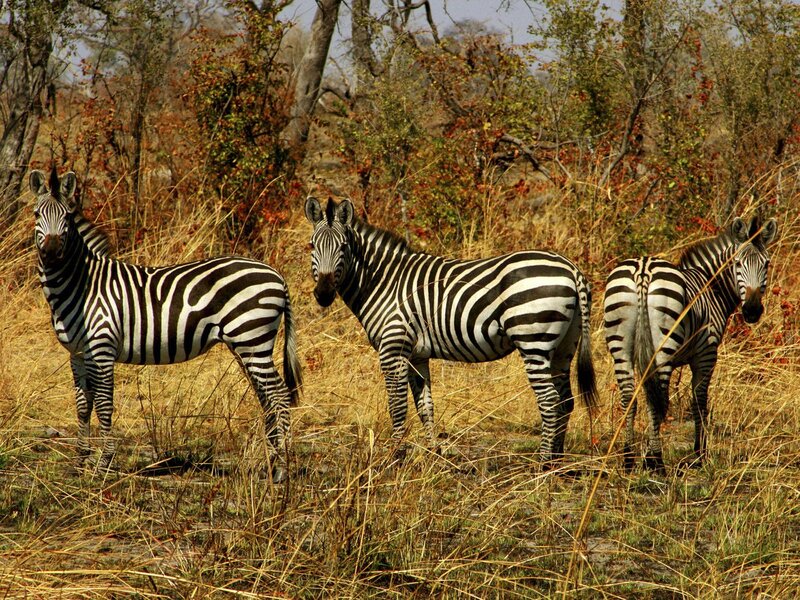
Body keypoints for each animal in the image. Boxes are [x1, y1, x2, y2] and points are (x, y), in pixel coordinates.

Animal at [31, 168, 302, 482]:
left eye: (66, 217)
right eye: (37, 214)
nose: (52, 252)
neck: (82, 284)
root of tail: (277, 275)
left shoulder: (102, 349)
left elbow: (104, 405)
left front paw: (103, 465)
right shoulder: (76, 353)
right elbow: (83, 406)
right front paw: (79, 463)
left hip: (252, 340)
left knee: (279, 395)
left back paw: (282, 468)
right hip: (247, 346)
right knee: (267, 398)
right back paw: (272, 463)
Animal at [304, 197, 597, 464]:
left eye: (343, 247)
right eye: (312, 246)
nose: (323, 294)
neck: (383, 282)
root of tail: (571, 268)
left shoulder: (393, 349)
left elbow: (397, 406)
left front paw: (395, 457)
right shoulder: (417, 355)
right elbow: (425, 406)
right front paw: (433, 454)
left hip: (532, 339)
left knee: (549, 401)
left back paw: (542, 464)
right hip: (563, 346)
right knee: (565, 400)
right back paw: (557, 462)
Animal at [603, 216, 778, 473]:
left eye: (766, 264)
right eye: (737, 264)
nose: (752, 311)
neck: (711, 287)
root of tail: (643, 269)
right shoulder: (706, 355)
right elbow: (699, 402)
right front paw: (699, 454)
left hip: (620, 346)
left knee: (629, 398)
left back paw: (628, 458)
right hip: (663, 346)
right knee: (658, 401)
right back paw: (656, 462)